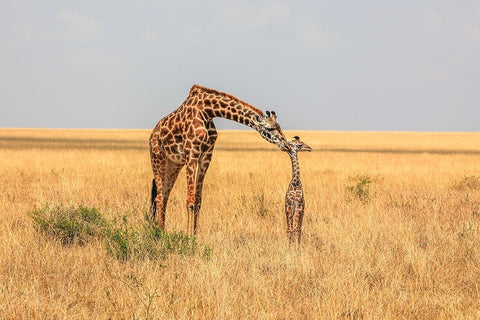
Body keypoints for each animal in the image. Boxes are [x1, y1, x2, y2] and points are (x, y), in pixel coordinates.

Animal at [148, 84, 290, 235]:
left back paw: (162, 230)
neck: (208, 111)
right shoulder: (191, 154)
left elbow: (198, 201)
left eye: (280, 127)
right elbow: (190, 201)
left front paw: (195, 235)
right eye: (270, 129)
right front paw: (188, 236)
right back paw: (159, 233)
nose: (286, 145)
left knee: (164, 196)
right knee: (159, 197)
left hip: (173, 164)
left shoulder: (206, 156)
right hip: (158, 158)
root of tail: (152, 135)